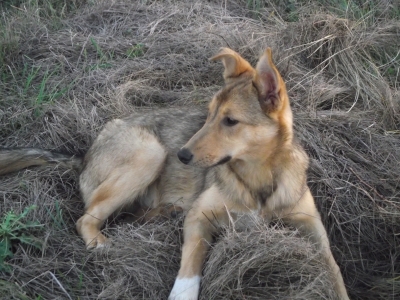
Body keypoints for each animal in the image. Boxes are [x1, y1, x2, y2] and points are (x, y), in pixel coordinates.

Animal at [0, 48, 348, 298]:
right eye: (208, 115)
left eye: (230, 121)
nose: (181, 155)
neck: (258, 176)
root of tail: (84, 154)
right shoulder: (199, 218)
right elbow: (190, 267)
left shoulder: (314, 231)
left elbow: (336, 273)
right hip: (150, 152)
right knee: (85, 219)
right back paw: (100, 243)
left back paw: (162, 212)